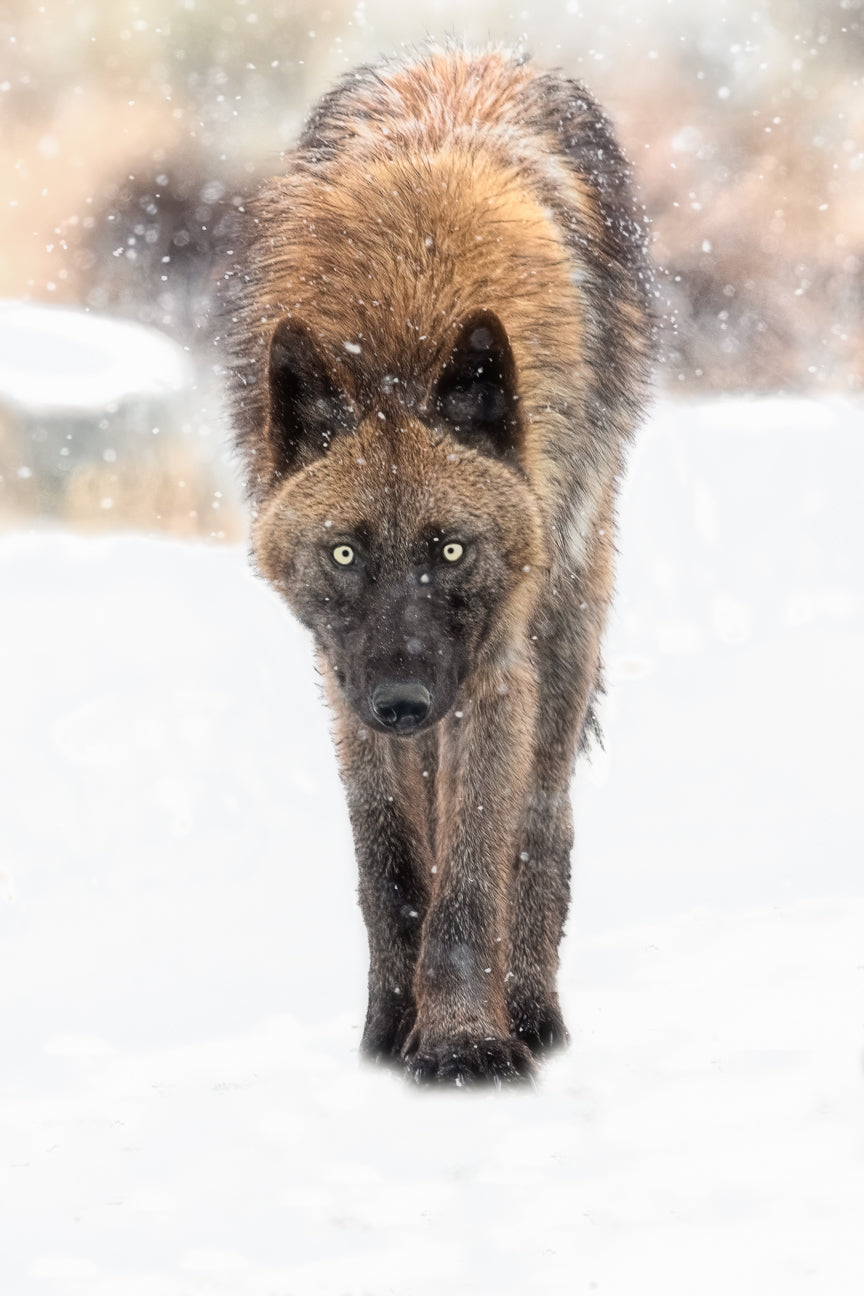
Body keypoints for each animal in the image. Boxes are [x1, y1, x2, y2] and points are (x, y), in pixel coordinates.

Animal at [218, 45, 653, 1084]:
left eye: (450, 548)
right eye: (344, 552)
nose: (406, 702)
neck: (402, 314)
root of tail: (470, 52)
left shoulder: (493, 672)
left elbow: (471, 870)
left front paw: (463, 1043)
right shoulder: (343, 684)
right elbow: (391, 866)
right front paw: (391, 1032)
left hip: (562, 633)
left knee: (539, 826)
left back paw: (532, 1012)